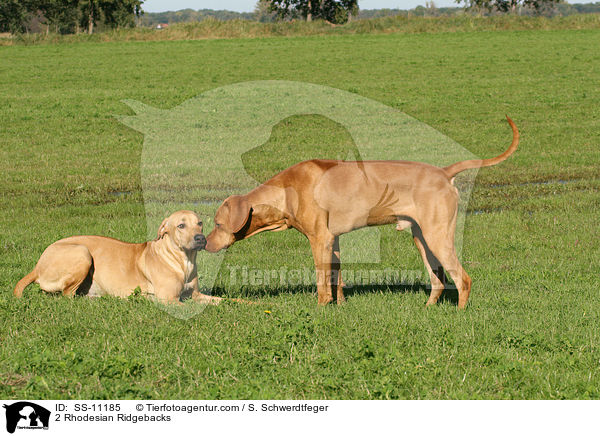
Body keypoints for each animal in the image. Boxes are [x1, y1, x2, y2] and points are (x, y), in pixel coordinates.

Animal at [14, 210, 220, 304]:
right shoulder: (169, 299)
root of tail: (37, 266)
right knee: (67, 295)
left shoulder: (196, 294)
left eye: (200, 223)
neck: (184, 261)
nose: (200, 238)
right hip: (82, 252)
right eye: (181, 226)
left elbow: (222, 301)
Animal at [206, 117, 516, 308]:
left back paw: (460, 313)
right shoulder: (333, 240)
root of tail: (443, 172)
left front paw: (321, 308)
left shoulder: (319, 240)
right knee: (437, 280)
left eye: (218, 224)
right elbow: (337, 277)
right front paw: (340, 304)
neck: (286, 191)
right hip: (421, 238)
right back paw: (428, 308)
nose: (203, 242)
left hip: (437, 236)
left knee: (463, 280)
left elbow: (322, 281)